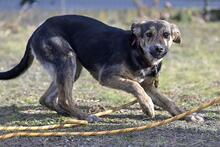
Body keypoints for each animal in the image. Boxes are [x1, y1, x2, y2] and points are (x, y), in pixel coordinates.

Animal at [0, 15, 205, 123]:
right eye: (148, 34)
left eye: (166, 35)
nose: (159, 49)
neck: (138, 53)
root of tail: (36, 30)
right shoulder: (107, 76)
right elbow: (135, 86)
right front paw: (147, 106)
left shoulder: (150, 87)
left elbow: (170, 102)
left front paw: (190, 116)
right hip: (68, 59)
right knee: (65, 98)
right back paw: (85, 116)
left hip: (72, 69)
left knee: (46, 98)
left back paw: (67, 113)